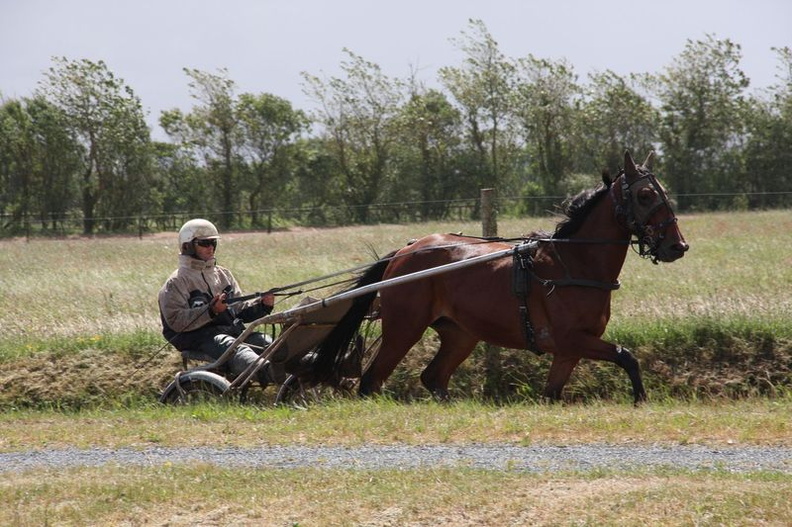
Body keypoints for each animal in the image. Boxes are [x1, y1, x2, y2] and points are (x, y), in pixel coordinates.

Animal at [306, 151, 688, 406]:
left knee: (434, 377)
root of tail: (406, 250)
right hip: (404, 328)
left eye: (664, 192)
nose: (677, 245)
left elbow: (553, 394)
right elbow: (627, 355)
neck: (574, 263)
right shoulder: (573, 339)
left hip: (461, 334)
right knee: (372, 381)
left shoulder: (567, 352)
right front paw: (640, 400)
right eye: (644, 195)